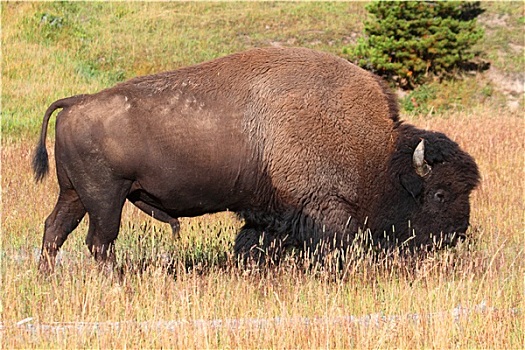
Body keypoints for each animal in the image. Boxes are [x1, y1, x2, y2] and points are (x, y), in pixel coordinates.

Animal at [32, 45, 478, 270]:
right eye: (439, 194)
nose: (457, 234)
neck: (380, 153)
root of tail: (76, 102)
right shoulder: (326, 209)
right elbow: (333, 245)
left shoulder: (269, 213)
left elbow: (254, 244)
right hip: (107, 197)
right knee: (99, 242)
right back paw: (117, 282)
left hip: (75, 194)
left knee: (55, 231)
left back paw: (49, 278)